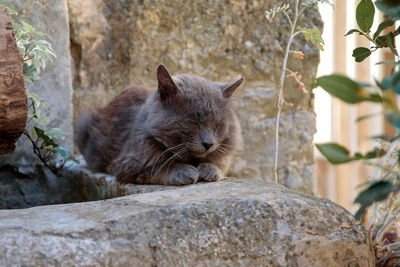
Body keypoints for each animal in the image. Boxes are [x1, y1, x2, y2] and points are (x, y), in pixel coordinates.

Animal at [75, 65, 244, 186]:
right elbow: (159, 167)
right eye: (193, 122)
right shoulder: (128, 164)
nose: (208, 143)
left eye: (217, 125)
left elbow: (220, 163)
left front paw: (209, 169)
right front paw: (184, 171)